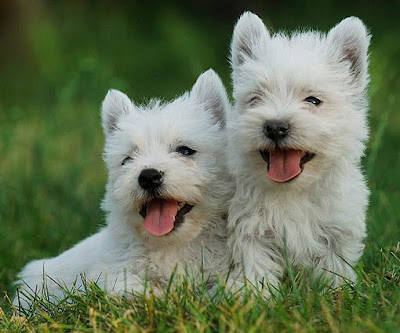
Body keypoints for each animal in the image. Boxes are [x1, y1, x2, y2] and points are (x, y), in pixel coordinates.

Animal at [14, 68, 231, 308]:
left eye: (185, 151)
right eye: (127, 160)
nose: (148, 177)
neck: (171, 246)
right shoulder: (112, 276)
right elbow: (132, 288)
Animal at [227, 12, 370, 294]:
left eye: (313, 100)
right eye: (256, 99)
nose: (275, 127)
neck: (293, 191)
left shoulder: (338, 230)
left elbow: (334, 267)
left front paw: (336, 294)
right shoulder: (250, 229)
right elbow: (255, 266)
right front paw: (254, 296)